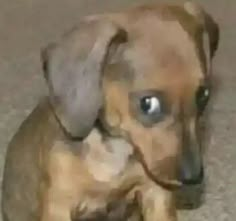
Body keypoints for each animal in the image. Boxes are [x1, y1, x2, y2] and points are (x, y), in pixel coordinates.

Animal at [1, 1, 219, 221]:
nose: (194, 177)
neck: (114, 151)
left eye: (204, 95)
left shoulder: (155, 194)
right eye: (148, 104)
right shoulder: (59, 205)